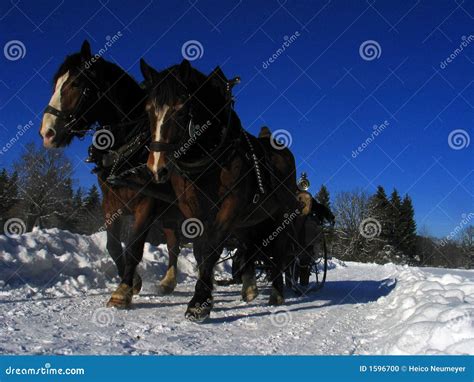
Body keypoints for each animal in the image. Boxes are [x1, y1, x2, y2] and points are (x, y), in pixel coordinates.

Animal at [38, 39, 183, 302]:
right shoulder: (110, 202)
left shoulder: (146, 202)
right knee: (173, 242)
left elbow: (134, 246)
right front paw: (134, 281)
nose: (47, 133)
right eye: (56, 84)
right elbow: (114, 246)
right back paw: (168, 282)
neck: (130, 145)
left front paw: (123, 291)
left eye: (76, 83)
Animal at [110, 58, 300, 320]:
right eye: (148, 110)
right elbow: (201, 250)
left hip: (281, 216)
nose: (157, 169)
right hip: (248, 221)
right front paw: (206, 294)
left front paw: (199, 302)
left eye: (180, 109)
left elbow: (212, 248)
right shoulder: (192, 207)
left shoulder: (230, 205)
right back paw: (250, 288)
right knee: (249, 248)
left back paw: (277, 293)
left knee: (279, 252)